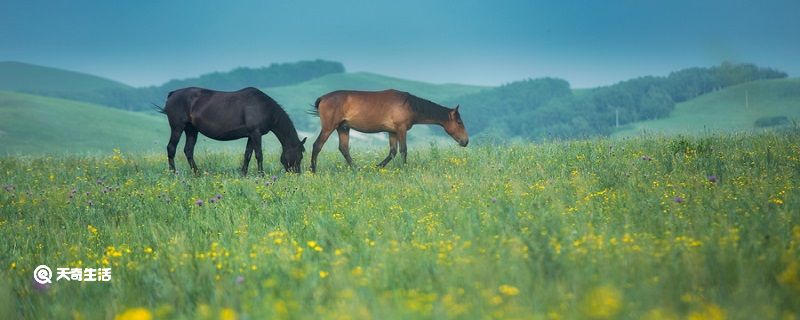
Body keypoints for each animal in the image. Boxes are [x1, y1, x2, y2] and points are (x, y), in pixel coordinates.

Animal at [156, 86, 306, 174]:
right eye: (300, 156)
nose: (297, 174)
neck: (264, 107)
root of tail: (172, 94)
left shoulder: (251, 135)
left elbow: (247, 155)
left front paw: (243, 174)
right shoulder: (256, 133)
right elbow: (259, 155)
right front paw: (261, 174)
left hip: (191, 130)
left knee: (188, 150)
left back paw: (197, 173)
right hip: (177, 127)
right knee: (171, 148)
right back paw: (173, 173)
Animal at [308, 89, 468, 171]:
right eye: (459, 122)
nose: (465, 141)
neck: (409, 105)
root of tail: (323, 98)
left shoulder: (392, 132)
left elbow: (392, 152)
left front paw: (378, 166)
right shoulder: (401, 129)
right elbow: (403, 150)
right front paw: (404, 168)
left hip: (343, 128)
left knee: (344, 149)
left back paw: (357, 169)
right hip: (329, 127)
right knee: (317, 146)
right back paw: (313, 170)